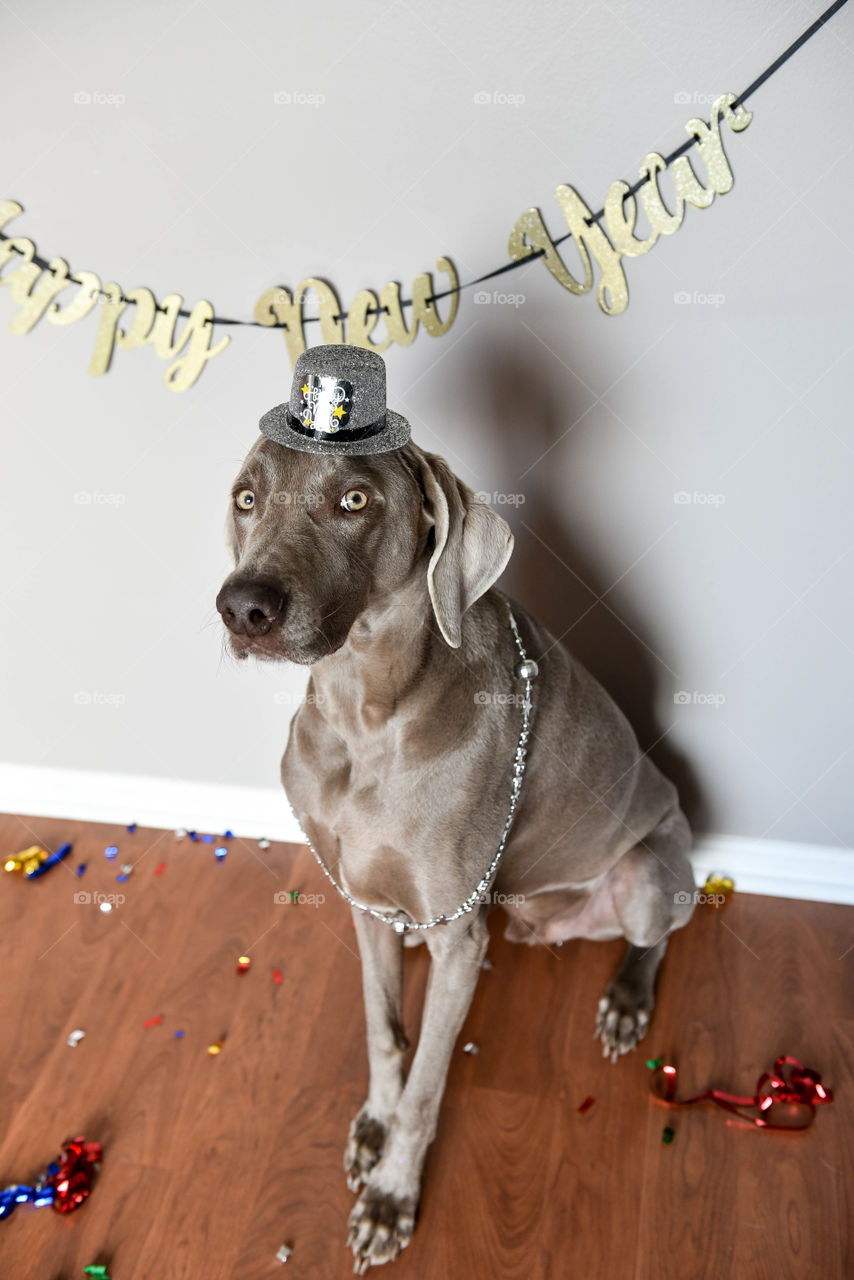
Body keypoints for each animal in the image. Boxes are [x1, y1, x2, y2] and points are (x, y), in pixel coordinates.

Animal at [213, 343, 696, 1269]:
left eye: (355, 500)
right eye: (246, 496)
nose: (243, 607)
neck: (363, 717)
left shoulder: (459, 940)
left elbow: (429, 1086)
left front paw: (392, 1195)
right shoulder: (361, 898)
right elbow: (382, 1029)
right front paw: (373, 1123)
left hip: (651, 870)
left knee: (657, 937)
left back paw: (625, 1003)